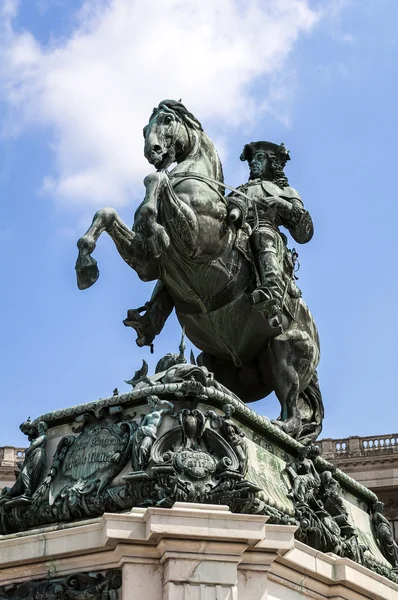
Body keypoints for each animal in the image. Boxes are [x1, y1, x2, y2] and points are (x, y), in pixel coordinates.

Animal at [75, 101, 324, 442]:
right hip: (219, 360)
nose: (153, 151)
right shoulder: (146, 262)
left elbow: (156, 182)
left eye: (168, 119)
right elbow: (108, 212)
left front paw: (151, 218)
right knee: (226, 386)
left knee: (293, 416)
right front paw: (85, 266)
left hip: (286, 350)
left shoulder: (197, 242)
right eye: (145, 127)